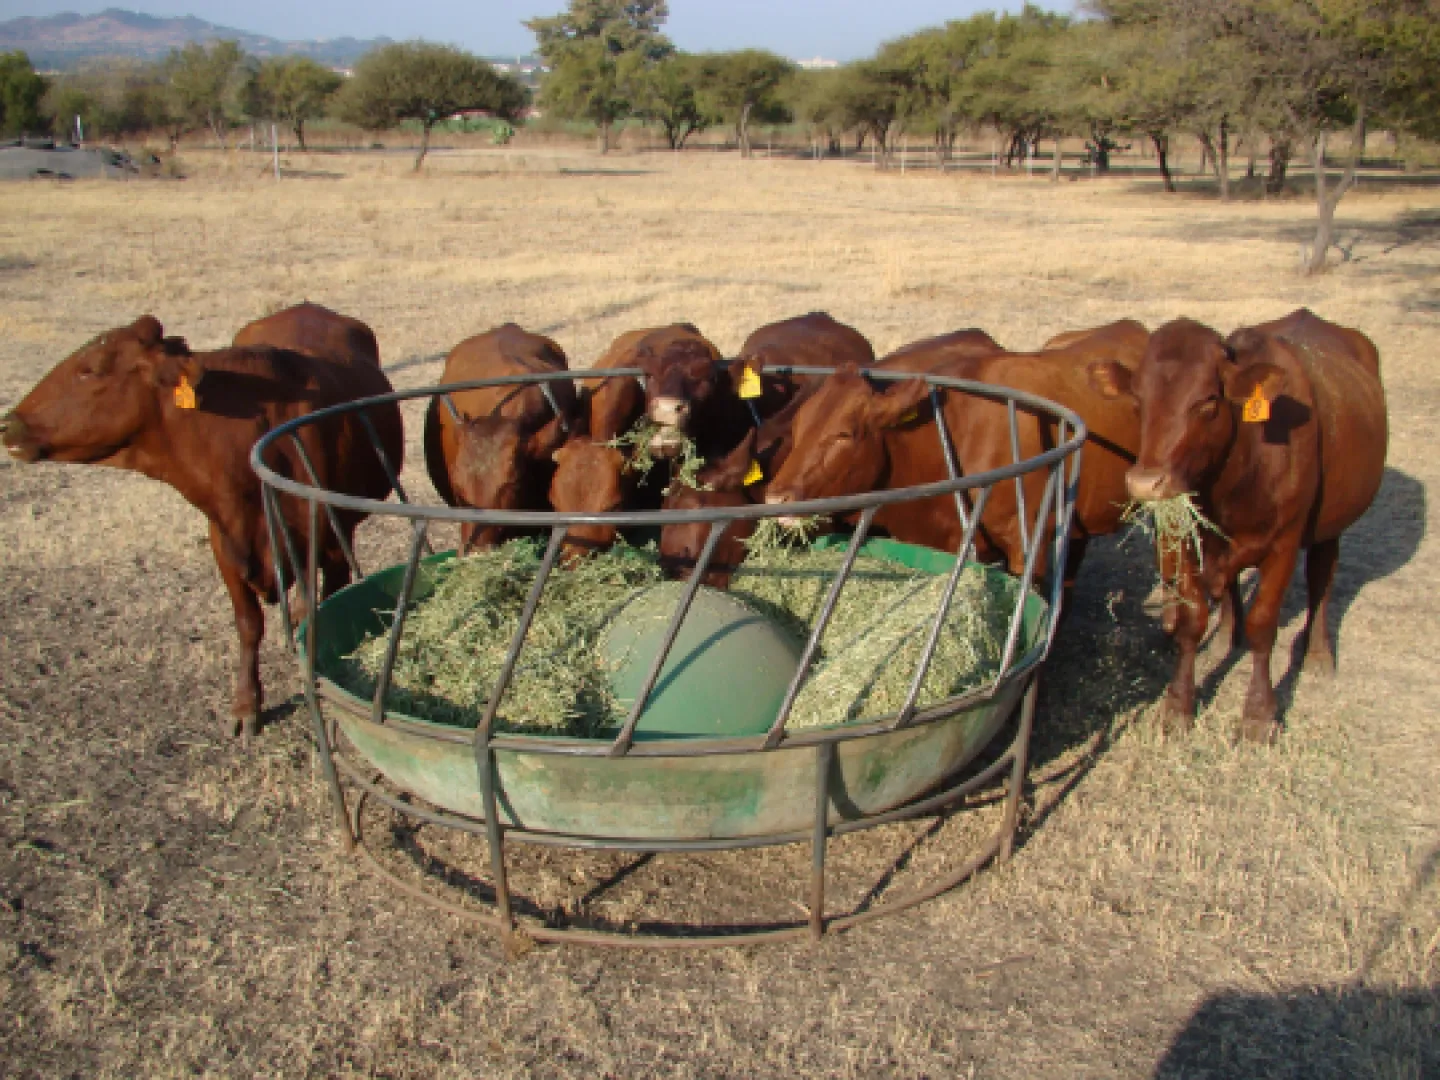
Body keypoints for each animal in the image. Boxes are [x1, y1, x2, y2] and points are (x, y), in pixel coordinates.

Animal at [0, 315, 404, 739]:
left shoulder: (321, 541)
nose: (8, 424)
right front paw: (246, 705)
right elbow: (248, 624)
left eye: (90, 369)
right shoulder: (223, 543)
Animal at [1087, 309, 1387, 741]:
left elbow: (1264, 625)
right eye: (1138, 400)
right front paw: (1178, 706)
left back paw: (1318, 653)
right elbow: (1192, 619)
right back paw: (1227, 637)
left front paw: (1259, 715)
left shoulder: (1284, 543)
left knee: (1322, 580)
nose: (1146, 482)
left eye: (1208, 401)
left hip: (1332, 522)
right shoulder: (1187, 537)